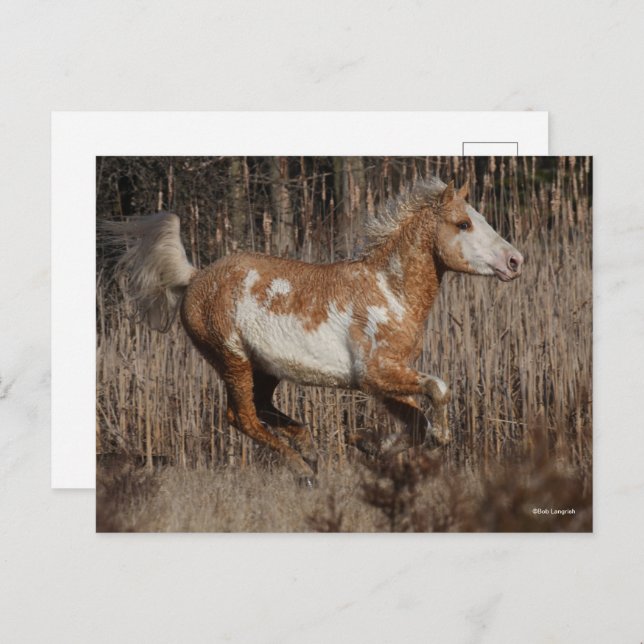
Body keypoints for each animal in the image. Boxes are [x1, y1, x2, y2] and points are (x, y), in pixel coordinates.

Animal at [104, 177, 523, 484]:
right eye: (463, 224)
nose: (515, 260)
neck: (389, 291)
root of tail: (194, 278)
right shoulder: (376, 374)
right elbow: (439, 390)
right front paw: (435, 437)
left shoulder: (385, 380)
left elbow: (416, 421)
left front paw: (366, 444)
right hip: (232, 359)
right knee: (242, 417)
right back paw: (302, 469)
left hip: (265, 369)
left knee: (259, 409)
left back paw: (309, 449)